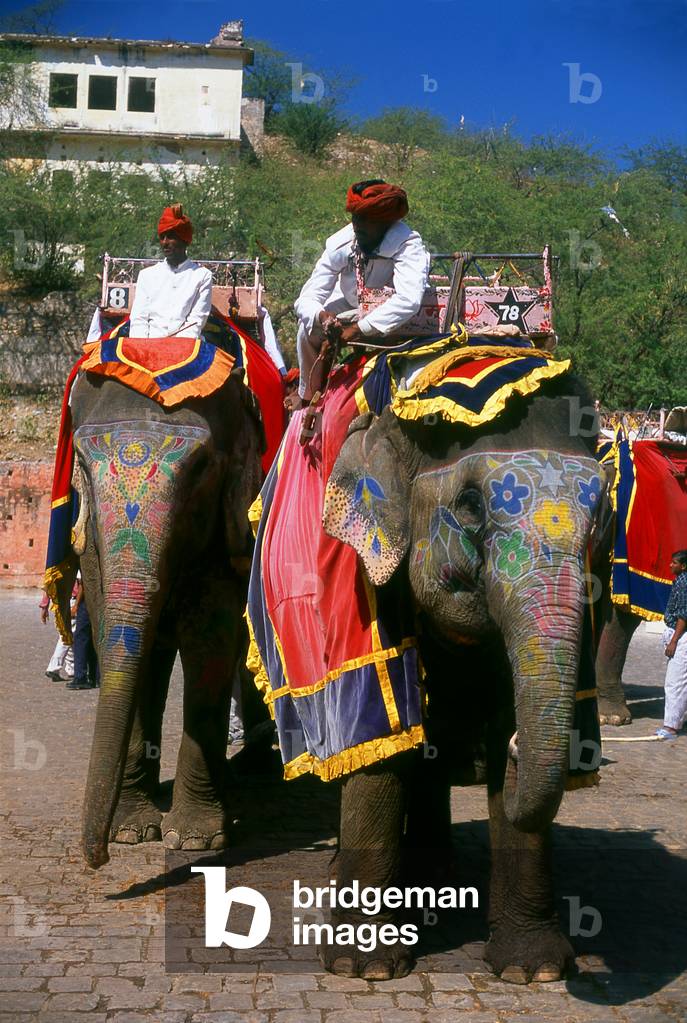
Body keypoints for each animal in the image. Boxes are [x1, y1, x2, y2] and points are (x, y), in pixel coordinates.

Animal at [70, 370, 263, 869]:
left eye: (200, 471)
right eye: (82, 467)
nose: (97, 857)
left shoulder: (227, 532)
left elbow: (211, 646)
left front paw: (195, 840)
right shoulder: (92, 549)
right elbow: (110, 633)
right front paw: (130, 833)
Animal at [320, 373, 604, 982]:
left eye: (602, 517)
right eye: (471, 505)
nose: (523, 741)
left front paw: (533, 972)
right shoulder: (369, 584)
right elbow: (382, 740)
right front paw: (365, 968)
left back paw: (433, 878)